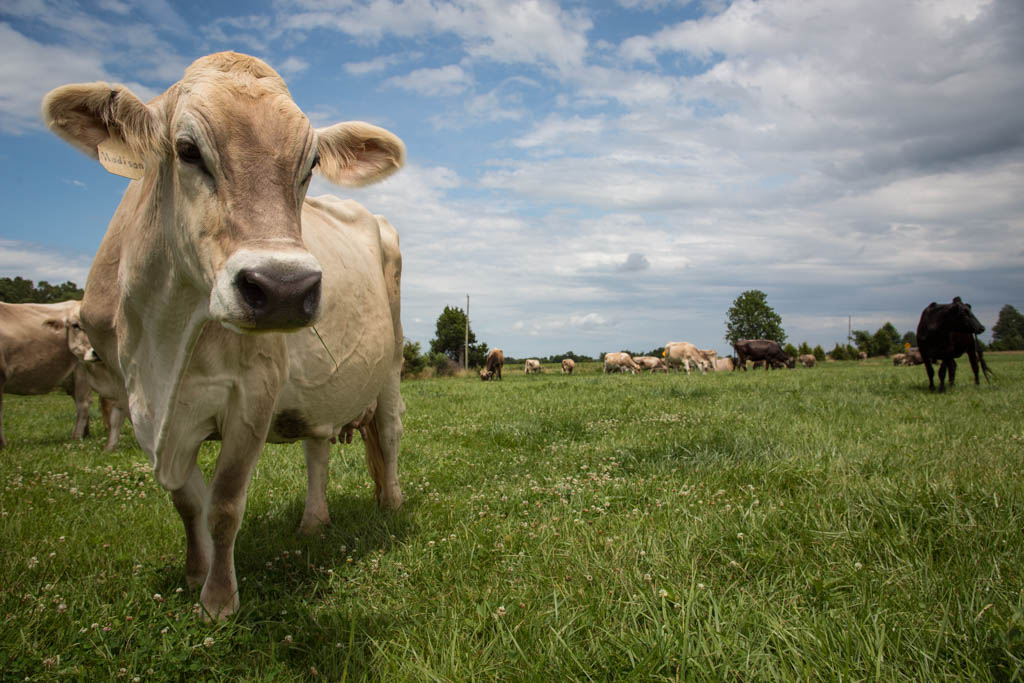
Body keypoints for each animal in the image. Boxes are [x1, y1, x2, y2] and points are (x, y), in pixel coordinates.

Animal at [41, 53, 407, 618]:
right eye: (187, 150)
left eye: (310, 165)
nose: (283, 288)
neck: (166, 339)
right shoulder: (138, 403)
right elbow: (188, 501)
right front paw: (196, 571)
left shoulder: (255, 392)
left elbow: (225, 502)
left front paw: (218, 600)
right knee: (317, 447)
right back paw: (313, 521)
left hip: (391, 366)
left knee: (387, 435)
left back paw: (390, 504)